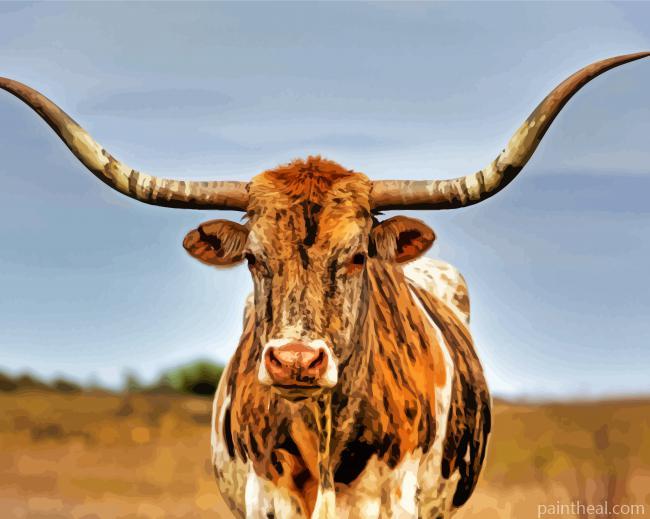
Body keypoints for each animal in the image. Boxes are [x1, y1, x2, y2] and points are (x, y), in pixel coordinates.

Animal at [1, 52, 647, 518]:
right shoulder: (267, 500)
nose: (295, 361)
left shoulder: (395, 502)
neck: (325, 433)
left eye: (358, 255)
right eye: (255, 258)